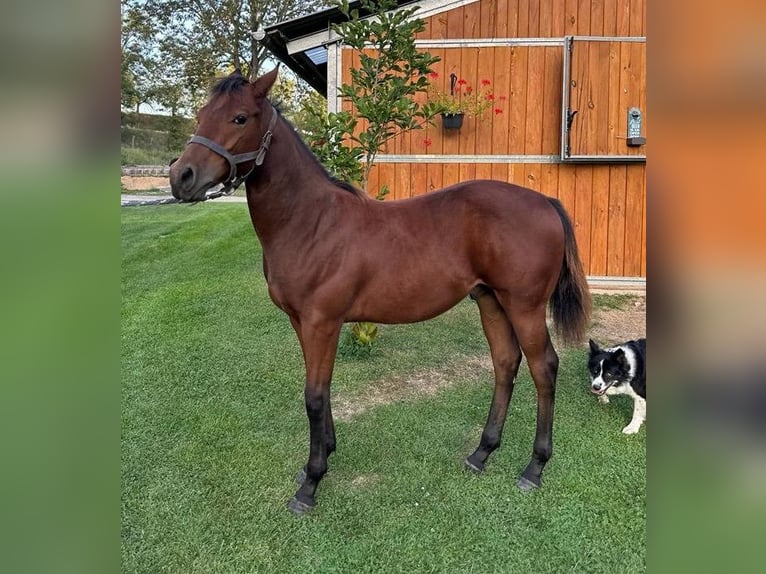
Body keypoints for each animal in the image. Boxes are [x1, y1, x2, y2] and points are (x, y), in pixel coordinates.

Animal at [171, 68, 592, 516]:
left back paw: (534, 467)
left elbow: (314, 396)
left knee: (543, 367)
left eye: (240, 118)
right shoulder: (303, 322)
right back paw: (481, 453)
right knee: (505, 363)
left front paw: (311, 484)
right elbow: (321, 390)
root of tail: (545, 202)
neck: (310, 222)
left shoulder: (322, 323)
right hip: (490, 300)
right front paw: (322, 456)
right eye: (201, 114)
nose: (181, 177)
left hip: (524, 306)